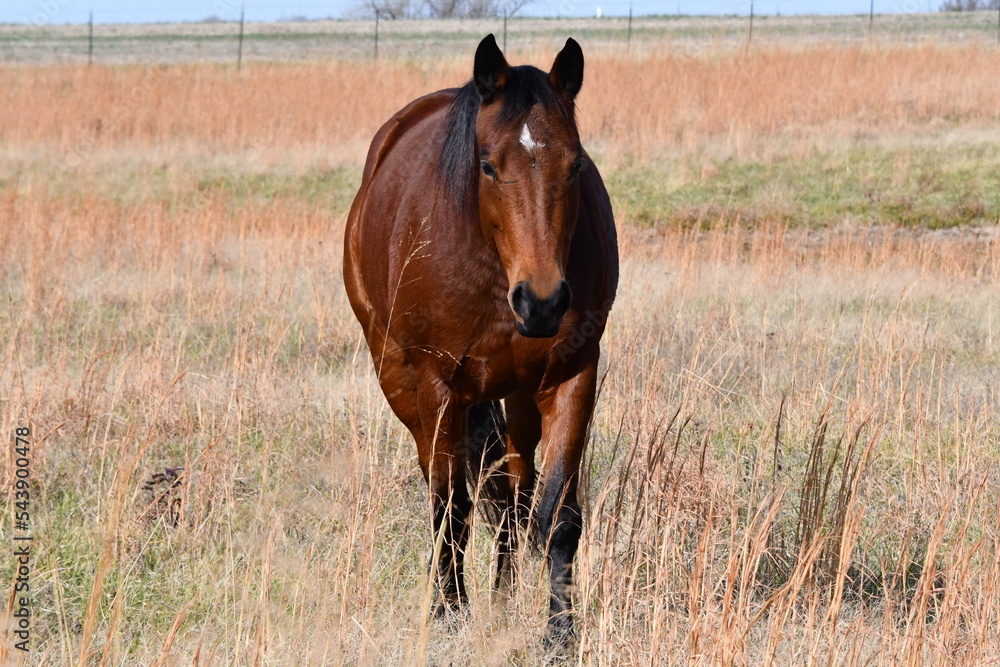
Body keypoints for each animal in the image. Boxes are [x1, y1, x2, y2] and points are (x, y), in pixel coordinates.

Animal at [343, 34, 618, 642]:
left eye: (576, 165)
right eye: (488, 166)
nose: (543, 302)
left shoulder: (572, 377)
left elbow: (558, 515)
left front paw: (559, 632)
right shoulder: (438, 386)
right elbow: (451, 507)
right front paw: (450, 612)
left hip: (515, 395)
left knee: (514, 491)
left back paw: (503, 591)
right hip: (402, 382)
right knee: (445, 486)